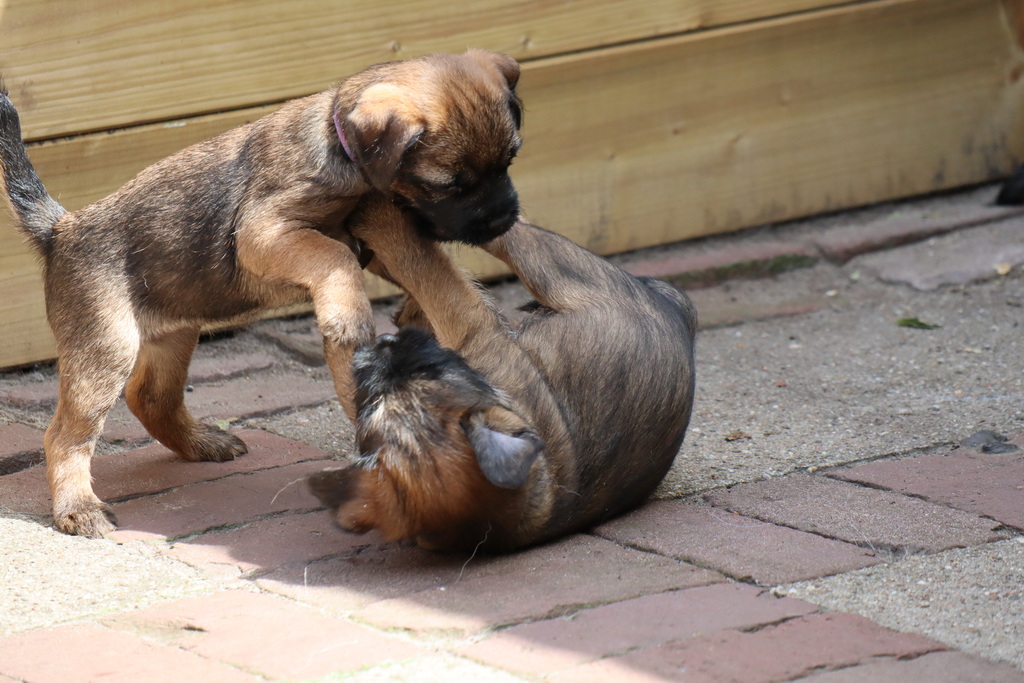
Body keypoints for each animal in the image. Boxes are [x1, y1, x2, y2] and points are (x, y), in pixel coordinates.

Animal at [0, 50, 523, 538]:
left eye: (511, 160)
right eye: (449, 184)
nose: (503, 219)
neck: (335, 140)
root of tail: (61, 229)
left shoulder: (366, 240)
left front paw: (414, 308)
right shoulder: (266, 230)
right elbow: (334, 255)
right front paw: (347, 311)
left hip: (174, 333)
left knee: (151, 398)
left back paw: (202, 444)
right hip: (108, 348)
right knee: (65, 436)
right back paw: (78, 508)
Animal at [308, 200, 698, 552]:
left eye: (429, 371)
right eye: (374, 399)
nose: (384, 345)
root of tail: (679, 312)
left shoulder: (472, 328)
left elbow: (425, 270)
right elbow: (424, 270)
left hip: (558, 269)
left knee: (501, 234)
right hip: (562, 268)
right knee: (508, 230)